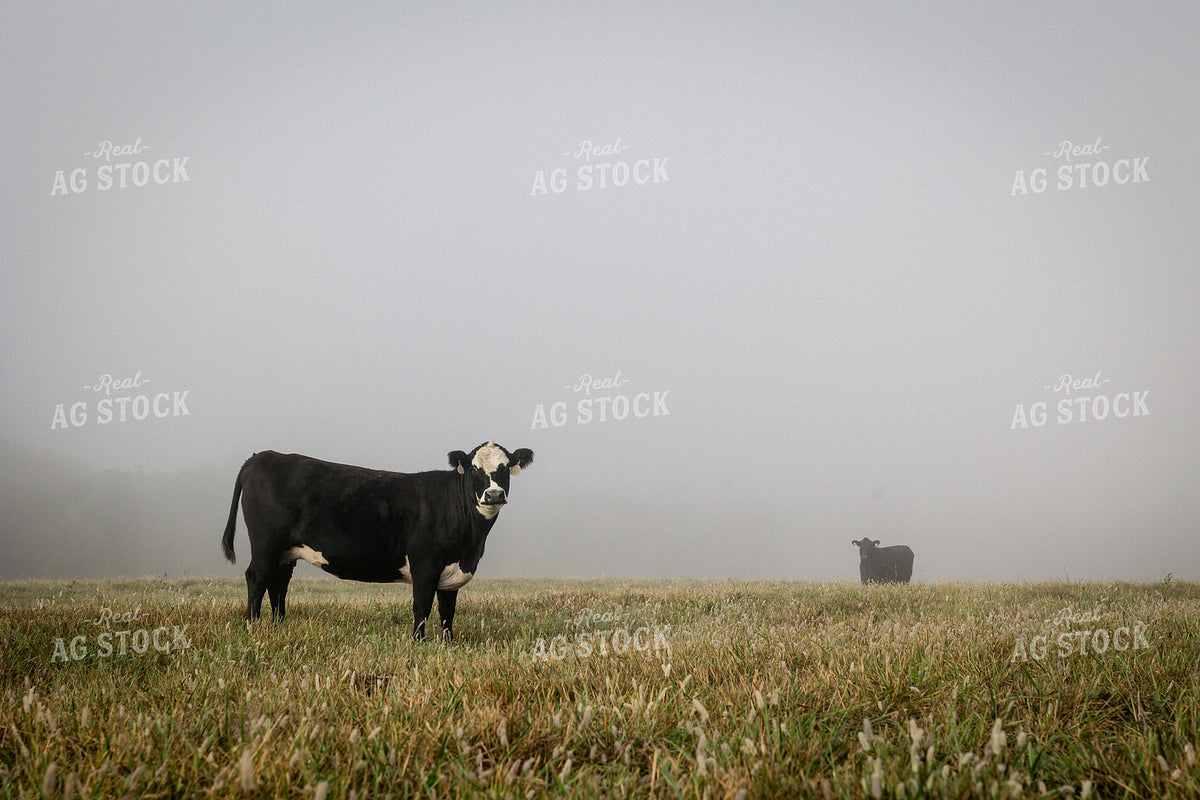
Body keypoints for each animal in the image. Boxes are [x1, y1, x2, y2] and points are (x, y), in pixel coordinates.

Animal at [221, 441, 533, 641]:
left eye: (505, 467)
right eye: (474, 469)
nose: (494, 495)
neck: (470, 544)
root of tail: (261, 456)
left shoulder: (453, 569)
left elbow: (448, 611)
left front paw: (448, 644)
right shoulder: (425, 564)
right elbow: (422, 606)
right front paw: (418, 643)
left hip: (286, 550)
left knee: (279, 584)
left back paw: (279, 626)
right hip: (266, 543)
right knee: (257, 578)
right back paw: (252, 626)